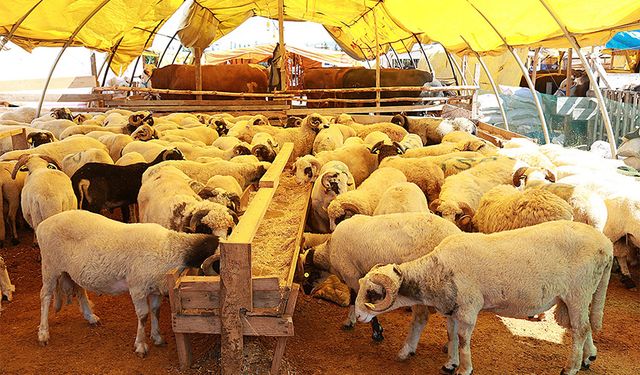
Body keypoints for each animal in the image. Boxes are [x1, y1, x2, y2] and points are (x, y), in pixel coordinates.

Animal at [35, 212, 221, 358]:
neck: (170, 248)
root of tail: (43, 225)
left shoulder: (155, 289)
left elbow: (155, 311)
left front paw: (157, 337)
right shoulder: (137, 288)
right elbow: (143, 315)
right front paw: (140, 346)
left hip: (72, 270)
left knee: (79, 290)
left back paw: (90, 317)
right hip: (50, 266)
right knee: (45, 295)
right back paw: (43, 333)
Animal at [302, 212, 462, 344]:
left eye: (307, 272)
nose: (305, 291)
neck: (329, 253)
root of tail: (457, 232)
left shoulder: (352, 276)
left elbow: (356, 300)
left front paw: (373, 331)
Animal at [358, 220, 612, 375]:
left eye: (373, 293)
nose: (359, 316)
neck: (436, 271)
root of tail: (607, 245)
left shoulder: (468, 309)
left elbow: (463, 339)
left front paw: (464, 369)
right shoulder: (453, 308)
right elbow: (451, 335)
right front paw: (450, 364)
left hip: (578, 292)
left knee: (580, 329)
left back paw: (570, 368)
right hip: (576, 297)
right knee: (584, 327)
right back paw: (588, 359)